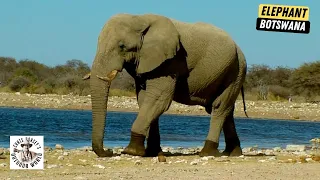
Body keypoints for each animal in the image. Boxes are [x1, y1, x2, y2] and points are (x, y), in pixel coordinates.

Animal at [84, 13, 249, 159]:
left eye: (122, 46)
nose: (109, 151)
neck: (139, 19)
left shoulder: (170, 62)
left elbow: (158, 99)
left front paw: (131, 151)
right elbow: (144, 100)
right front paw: (151, 152)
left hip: (236, 71)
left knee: (219, 106)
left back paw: (208, 152)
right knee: (226, 110)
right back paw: (232, 153)